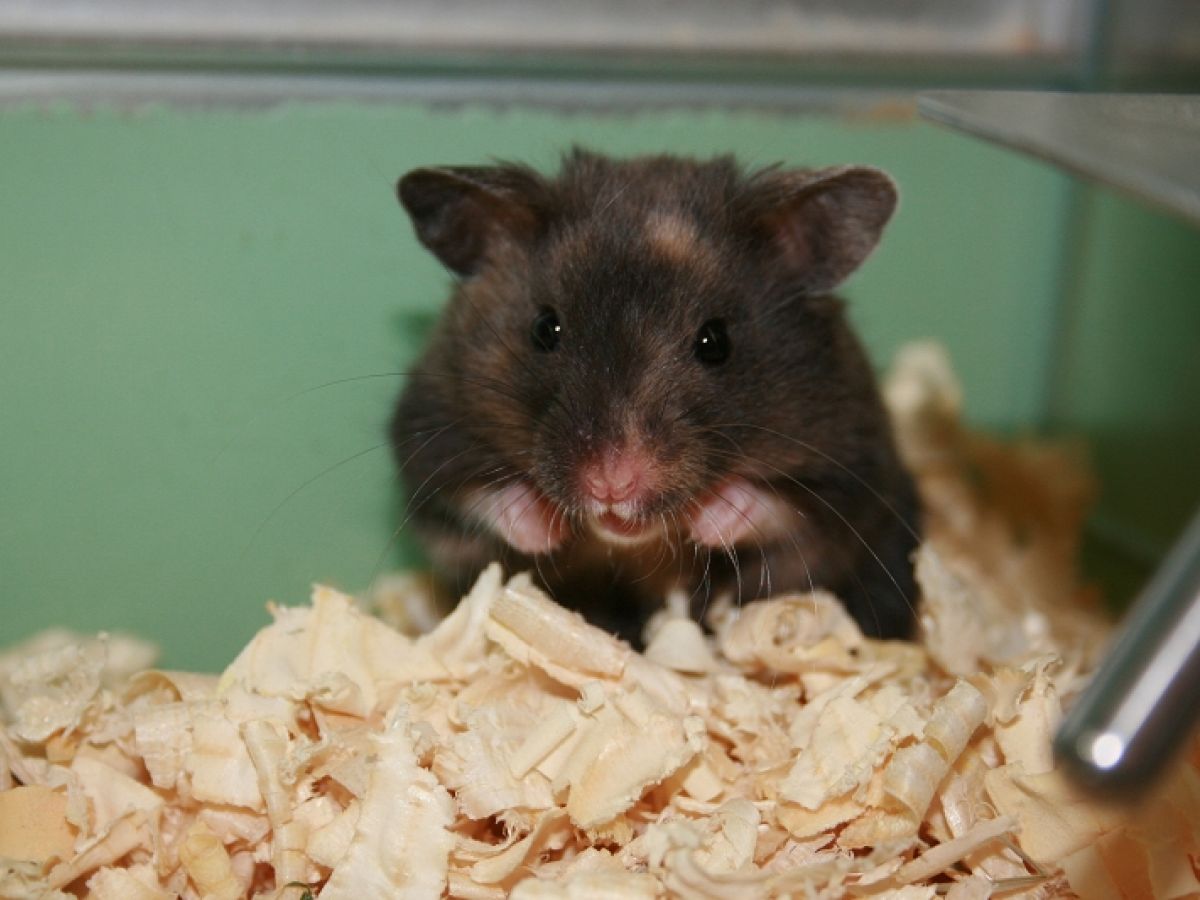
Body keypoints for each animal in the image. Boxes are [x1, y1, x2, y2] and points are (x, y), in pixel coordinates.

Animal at [390, 149, 920, 642]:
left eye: (715, 342)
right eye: (545, 328)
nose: (611, 485)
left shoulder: (850, 476)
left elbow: (783, 508)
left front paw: (710, 520)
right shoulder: (428, 440)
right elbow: (475, 496)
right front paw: (544, 528)